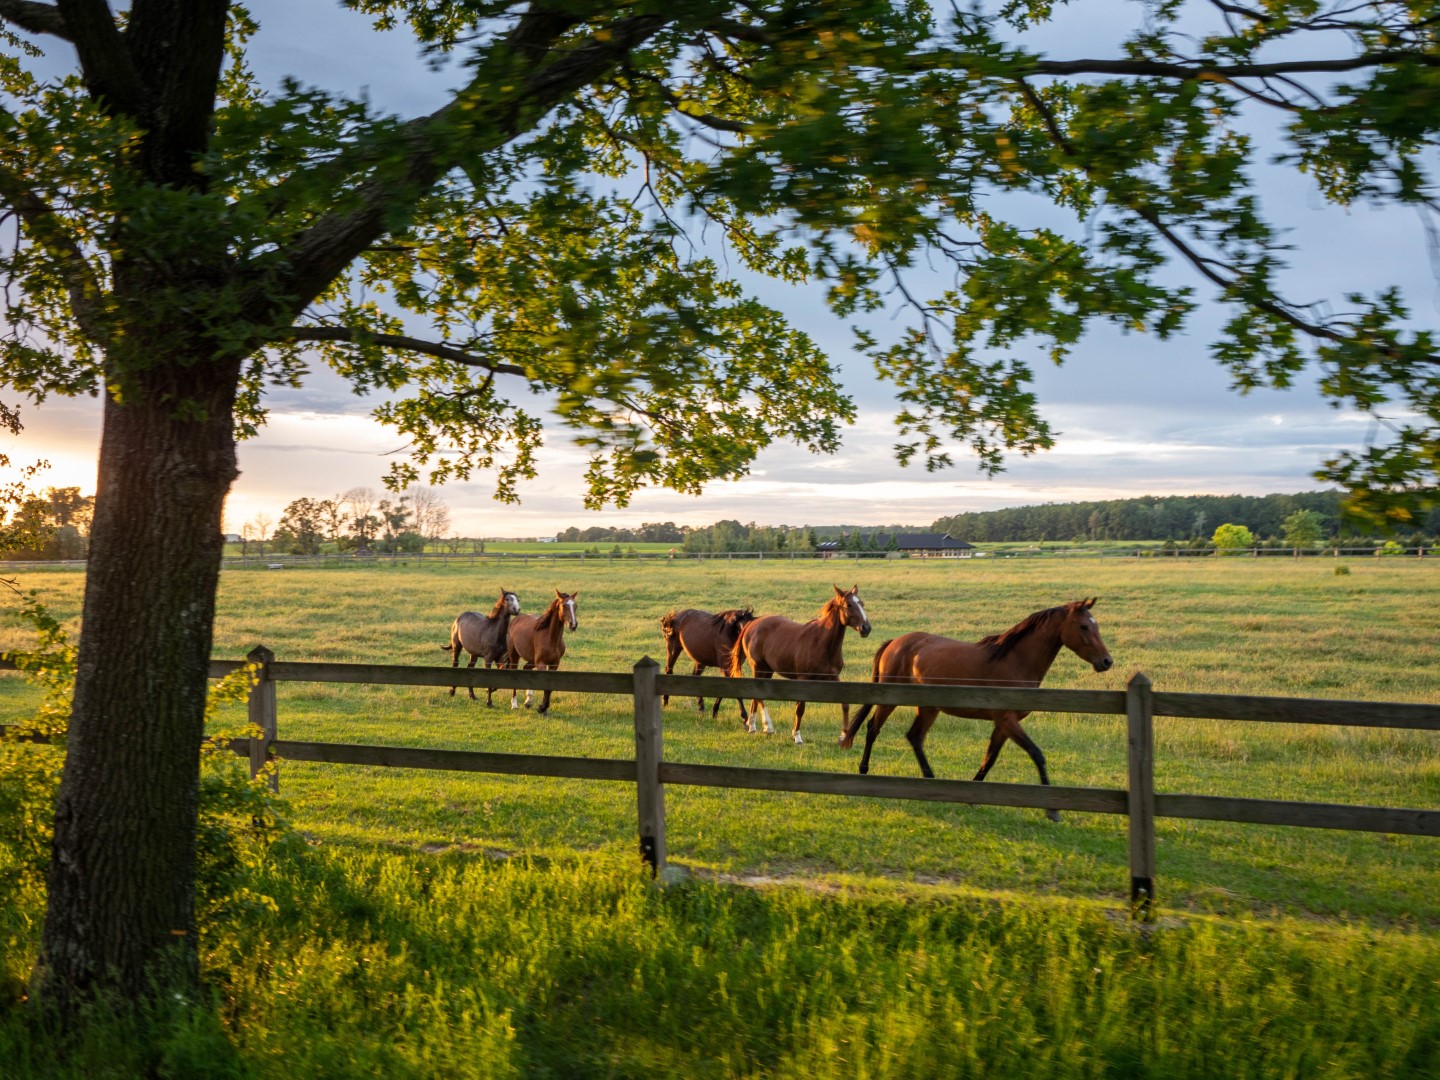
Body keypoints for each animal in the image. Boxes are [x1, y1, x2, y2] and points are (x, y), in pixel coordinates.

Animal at [725, 587, 869, 748]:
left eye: (862, 603)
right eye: (848, 605)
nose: (866, 628)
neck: (822, 643)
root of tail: (751, 624)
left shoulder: (833, 677)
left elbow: (845, 704)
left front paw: (843, 736)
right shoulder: (803, 679)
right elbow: (800, 708)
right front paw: (797, 736)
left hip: (768, 670)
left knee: (757, 696)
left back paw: (753, 726)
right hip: (759, 667)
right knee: (758, 694)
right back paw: (767, 726)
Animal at [840, 601, 1117, 817]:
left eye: (1096, 625)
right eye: (1084, 626)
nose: (1106, 661)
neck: (1014, 661)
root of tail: (894, 643)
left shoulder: (1003, 724)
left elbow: (989, 758)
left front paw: (972, 797)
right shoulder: (1008, 720)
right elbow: (1036, 754)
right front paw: (1052, 810)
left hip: (929, 707)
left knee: (914, 737)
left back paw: (932, 781)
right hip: (891, 699)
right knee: (873, 729)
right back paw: (864, 771)